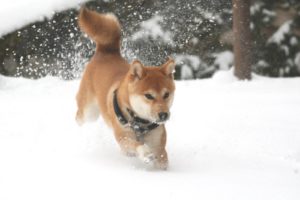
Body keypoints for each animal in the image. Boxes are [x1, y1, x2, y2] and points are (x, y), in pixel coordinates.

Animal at [75, 8, 176, 170]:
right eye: (149, 96)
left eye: (166, 94)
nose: (163, 115)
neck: (141, 124)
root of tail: (107, 51)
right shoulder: (123, 138)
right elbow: (137, 146)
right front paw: (145, 153)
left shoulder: (159, 144)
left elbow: (162, 159)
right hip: (89, 112)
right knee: (79, 117)